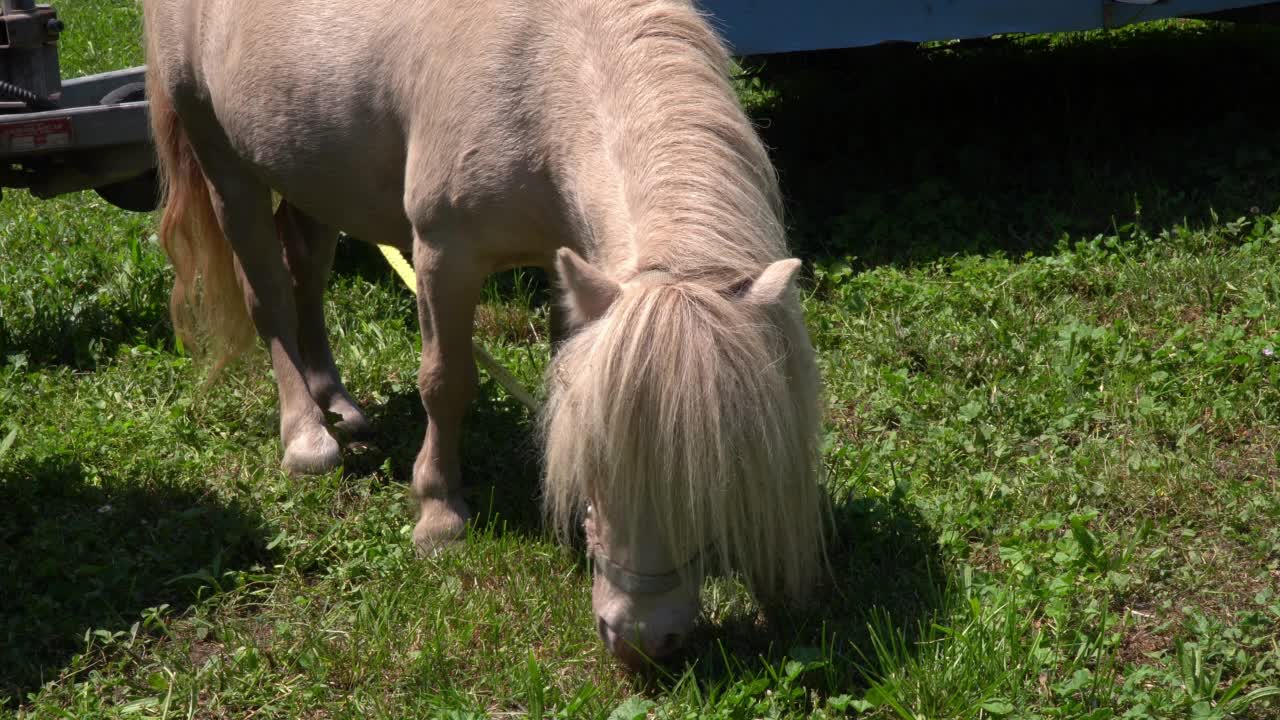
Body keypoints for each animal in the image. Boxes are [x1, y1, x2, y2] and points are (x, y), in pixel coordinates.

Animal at [145, 0, 824, 666]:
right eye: (603, 462)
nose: (644, 643)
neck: (547, 61)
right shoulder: (444, 256)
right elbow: (446, 384)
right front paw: (439, 514)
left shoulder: (567, 262)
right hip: (221, 154)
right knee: (269, 294)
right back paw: (307, 436)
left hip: (309, 160)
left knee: (306, 266)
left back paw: (334, 399)